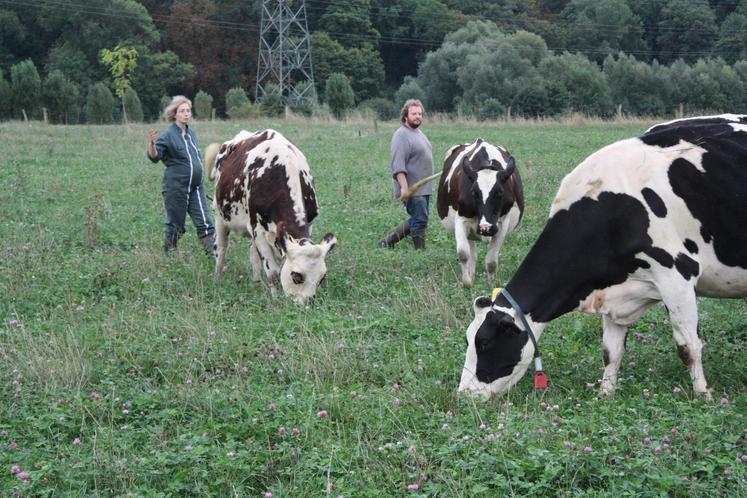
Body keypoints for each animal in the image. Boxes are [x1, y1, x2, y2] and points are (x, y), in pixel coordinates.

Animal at [202, 128, 336, 306]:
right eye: (296, 276)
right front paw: (275, 298)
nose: (306, 305)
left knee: (252, 254)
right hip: (219, 215)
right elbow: (273, 272)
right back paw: (218, 277)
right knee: (221, 247)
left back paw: (257, 281)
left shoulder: (308, 224)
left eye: (322, 278)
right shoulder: (257, 229)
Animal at [436, 139, 524, 288]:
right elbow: (463, 253)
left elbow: (491, 260)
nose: (485, 228)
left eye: (500, 192)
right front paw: (467, 282)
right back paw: (471, 274)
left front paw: (491, 284)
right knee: (472, 252)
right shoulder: (461, 220)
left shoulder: (502, 224)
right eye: (474, 192)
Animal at [458, 115, 747, 398]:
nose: (465, 393)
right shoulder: (612, 289)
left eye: (485, 342)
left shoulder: (677, 277)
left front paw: (703, 395)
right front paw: (605, 394)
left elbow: (688, 347)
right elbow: (611, 352)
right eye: (467, 339)